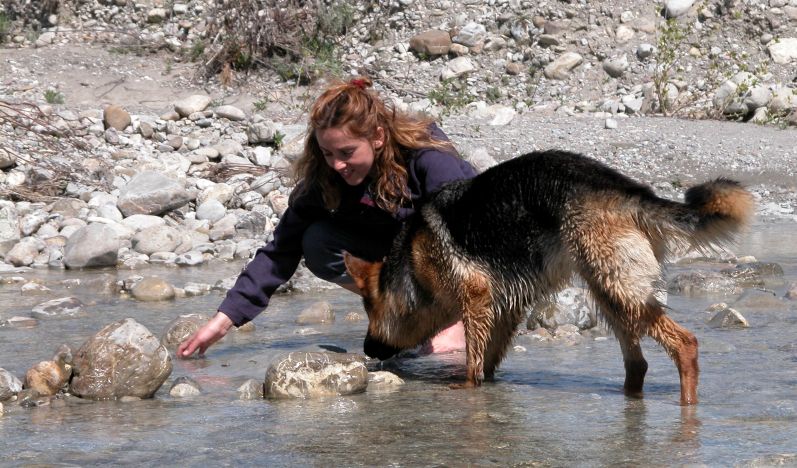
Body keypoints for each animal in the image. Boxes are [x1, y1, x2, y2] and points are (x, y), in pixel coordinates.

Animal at [346, 151, 752, 406]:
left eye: (368, 307)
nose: (366, 349)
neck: (411, 263)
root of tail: (628, 191)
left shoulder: (475, 298)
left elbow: (473, 360)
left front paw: (466, 388)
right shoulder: (505, 307)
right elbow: (488, 359)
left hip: (618, 288)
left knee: (684, 343)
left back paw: (688, 406)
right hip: (607, 290)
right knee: (637, 363)